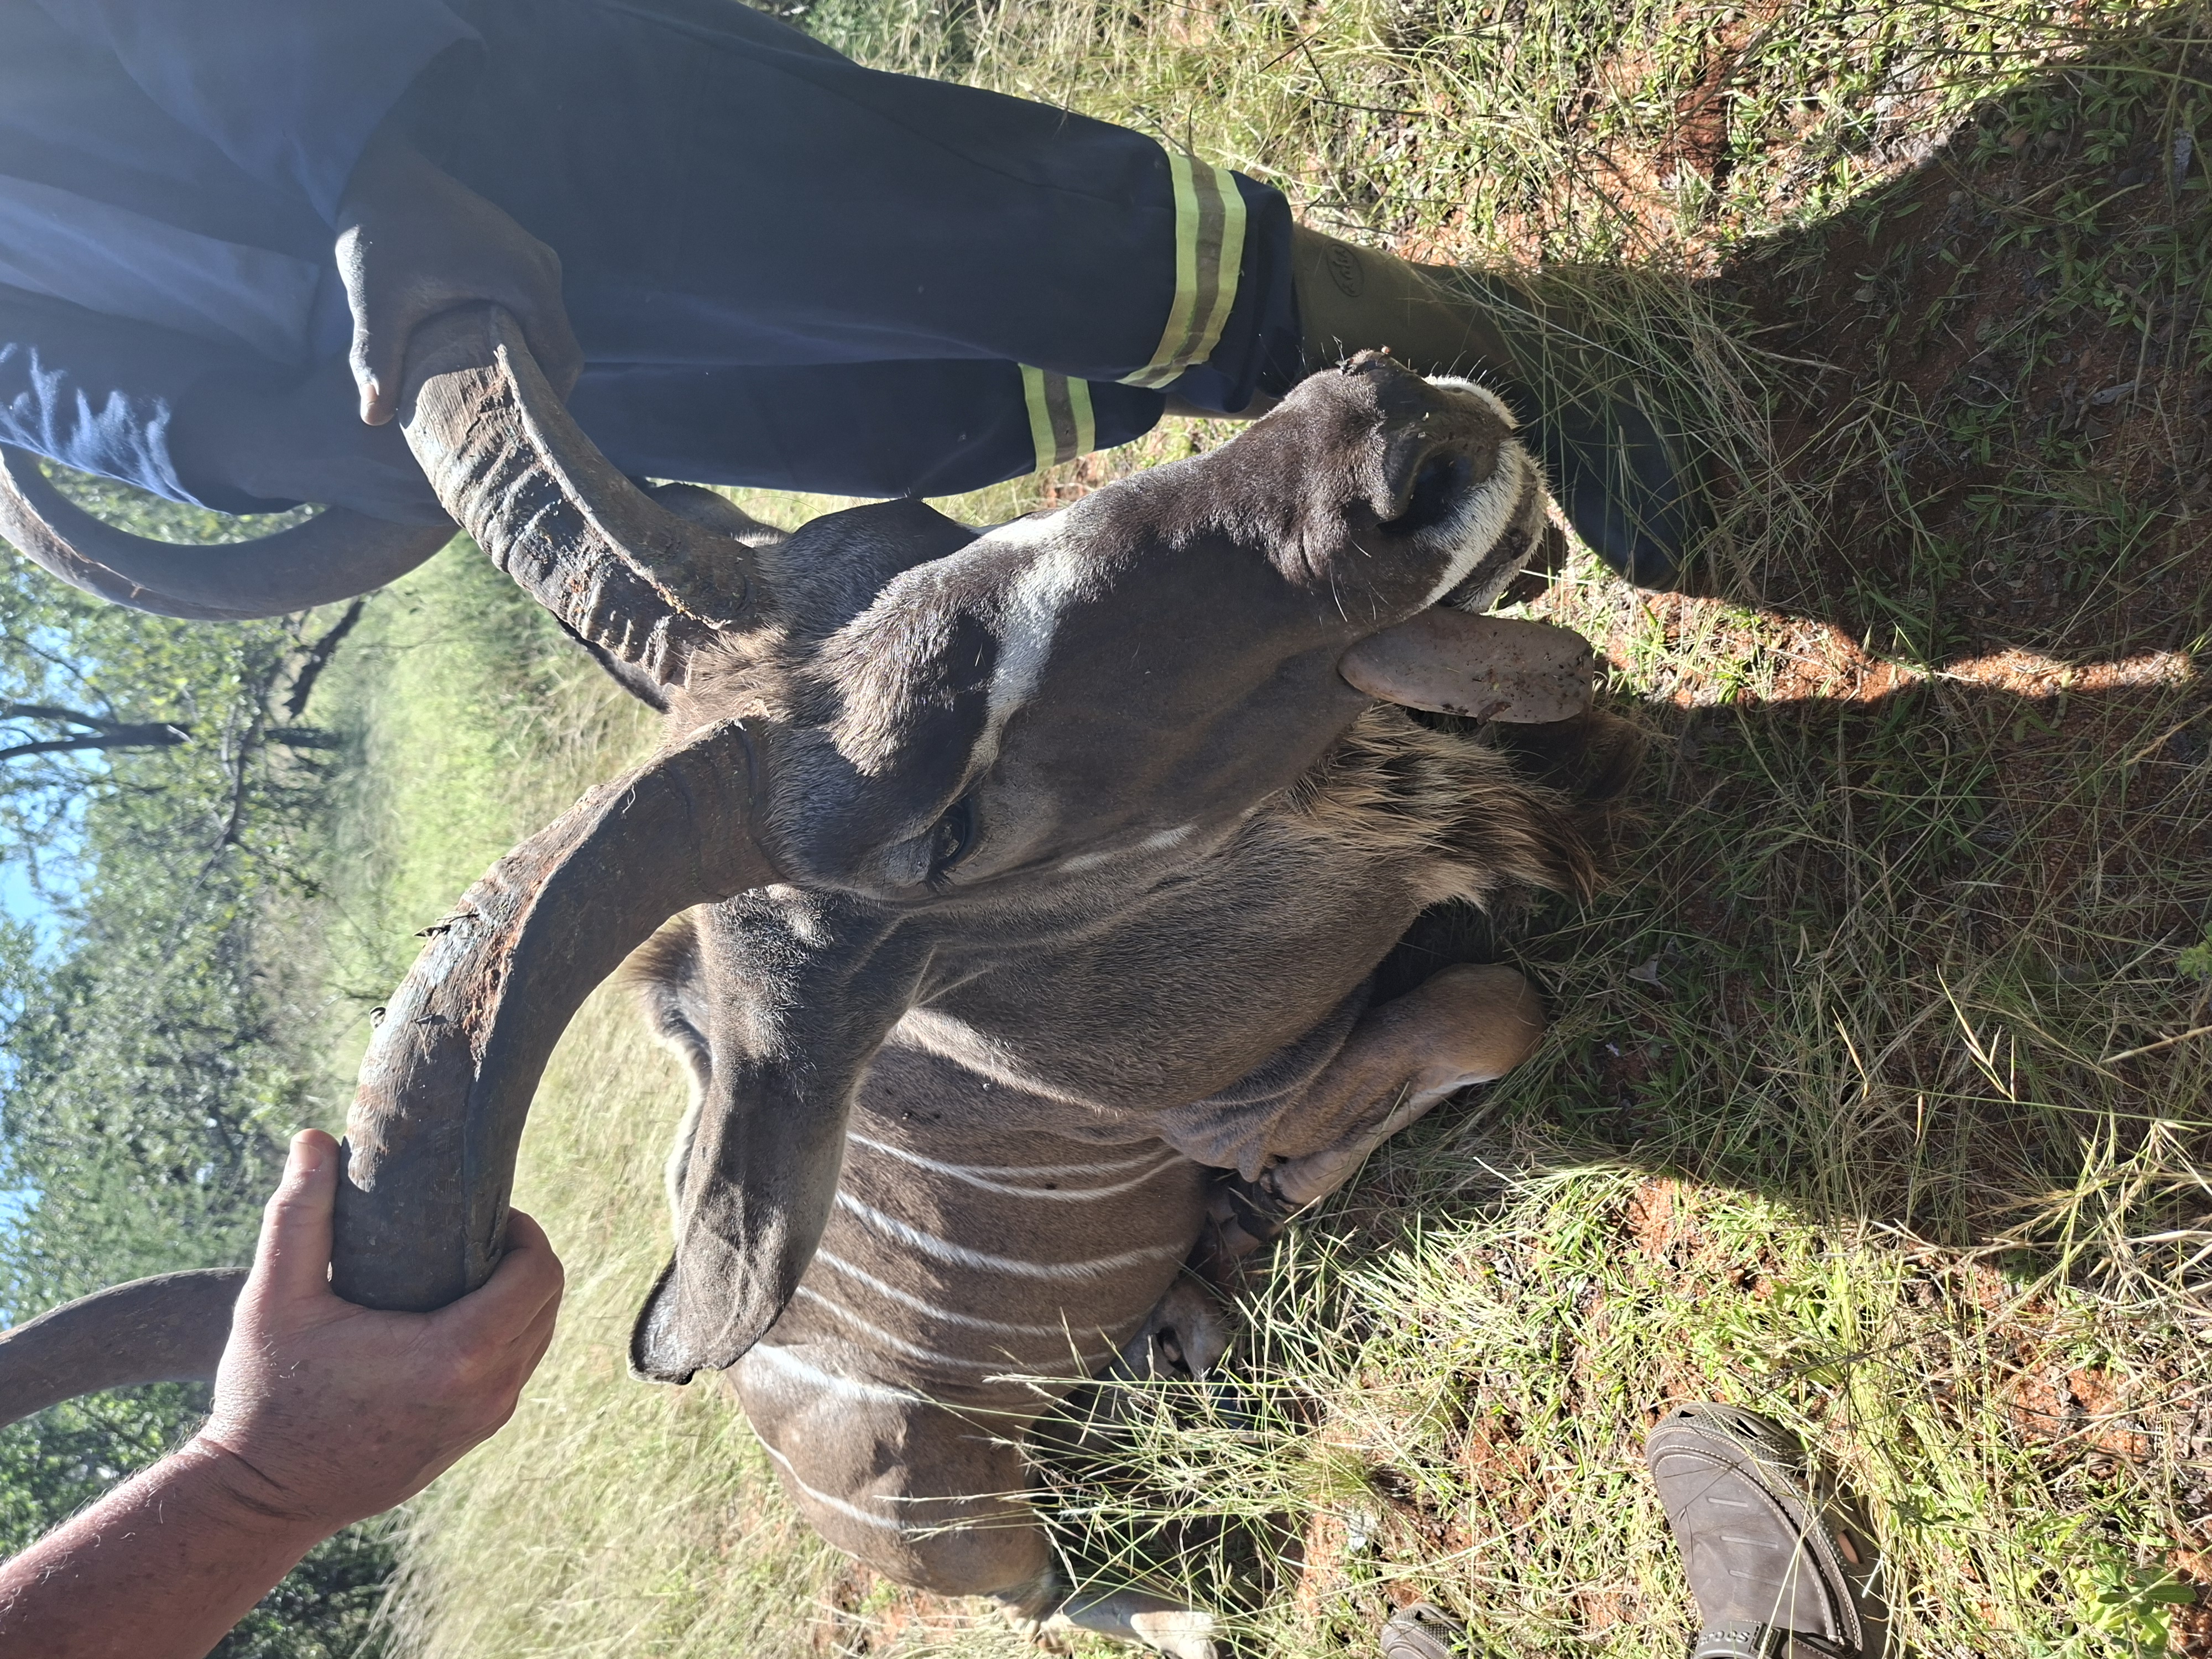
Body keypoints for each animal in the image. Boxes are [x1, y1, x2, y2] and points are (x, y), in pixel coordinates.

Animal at [0, 309, 1623, 1654]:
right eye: (937, 831)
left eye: (920, 523)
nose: (1392, 435)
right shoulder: (1247, 1097)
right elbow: (1492, 1007)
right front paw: (1279, 1195)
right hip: (952, 1519)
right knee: (1051, 1596)